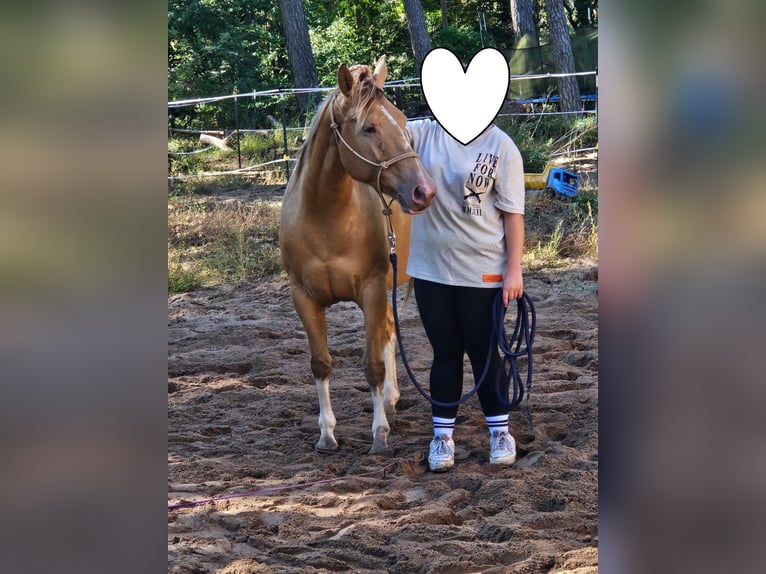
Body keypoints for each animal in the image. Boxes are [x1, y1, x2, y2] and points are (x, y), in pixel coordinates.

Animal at [279, 57, 436, 455]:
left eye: (401, 118)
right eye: (368, 127)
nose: (423, 191)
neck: (326, 219)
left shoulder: (373, 289)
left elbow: (373, 364)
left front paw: (379, 435)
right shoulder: (303, 297)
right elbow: (320, 364)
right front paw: (326, 435)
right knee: (388, 331)